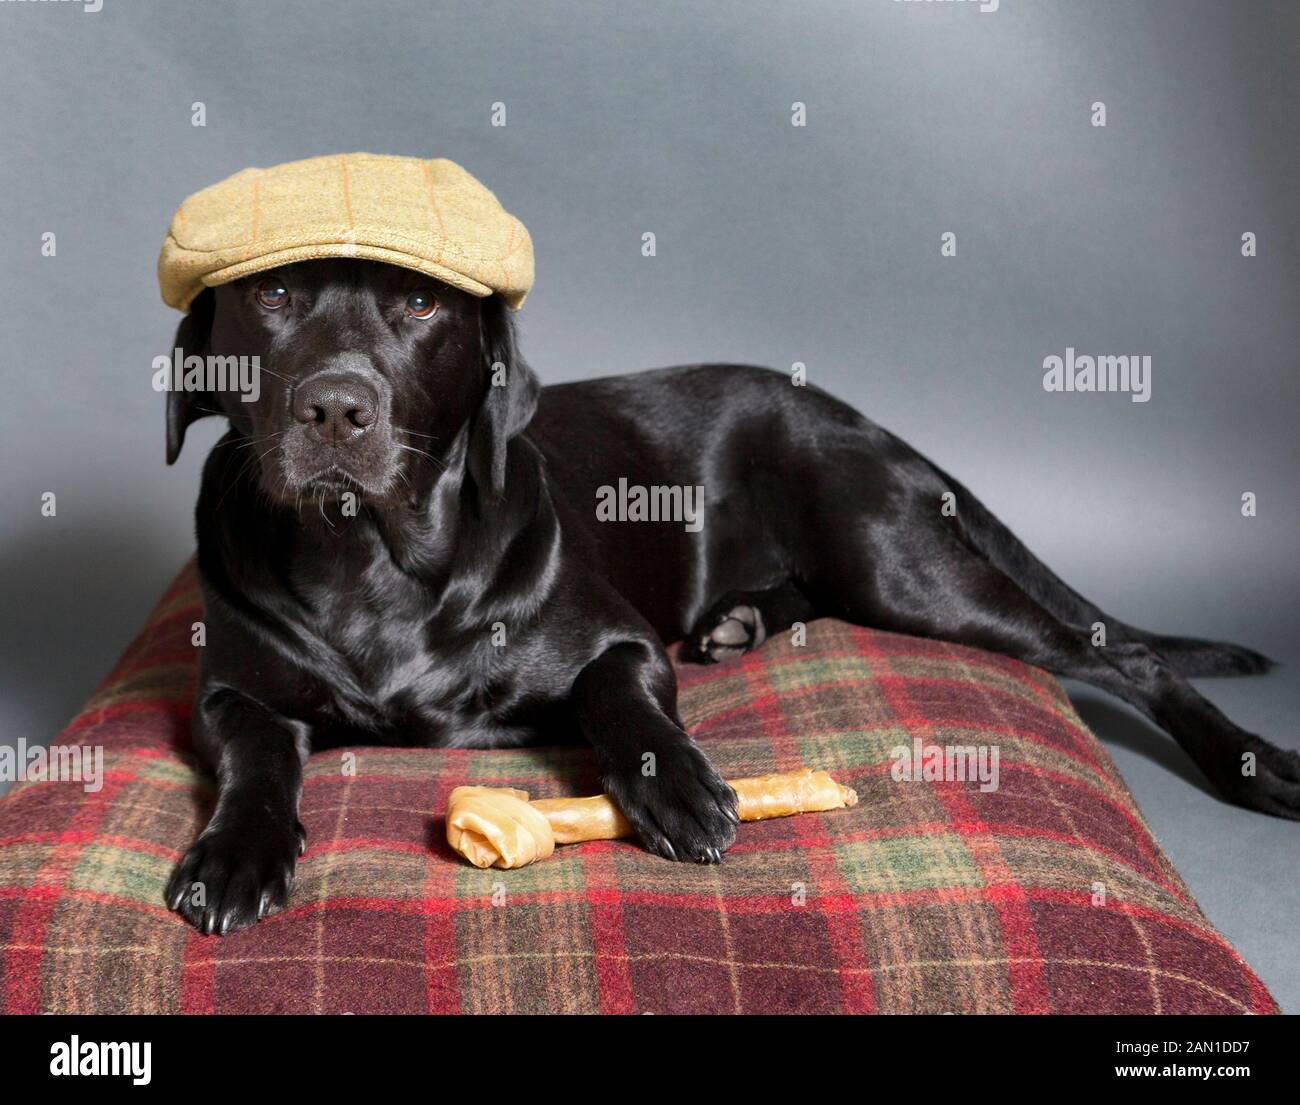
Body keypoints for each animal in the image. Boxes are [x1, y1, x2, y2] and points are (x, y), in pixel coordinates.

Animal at [157, 152, 1294, 930]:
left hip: (901, 569)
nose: (334, 408)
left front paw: (681, 788)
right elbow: (257, 753)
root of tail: (850, 409)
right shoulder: (231, 693)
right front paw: (236, 856)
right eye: (271, 294)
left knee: (1124, 651)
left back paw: (1253, 765)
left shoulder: (617, 643)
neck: (371, 564)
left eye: (421, 303)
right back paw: (738, 621)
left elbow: (620, 700)